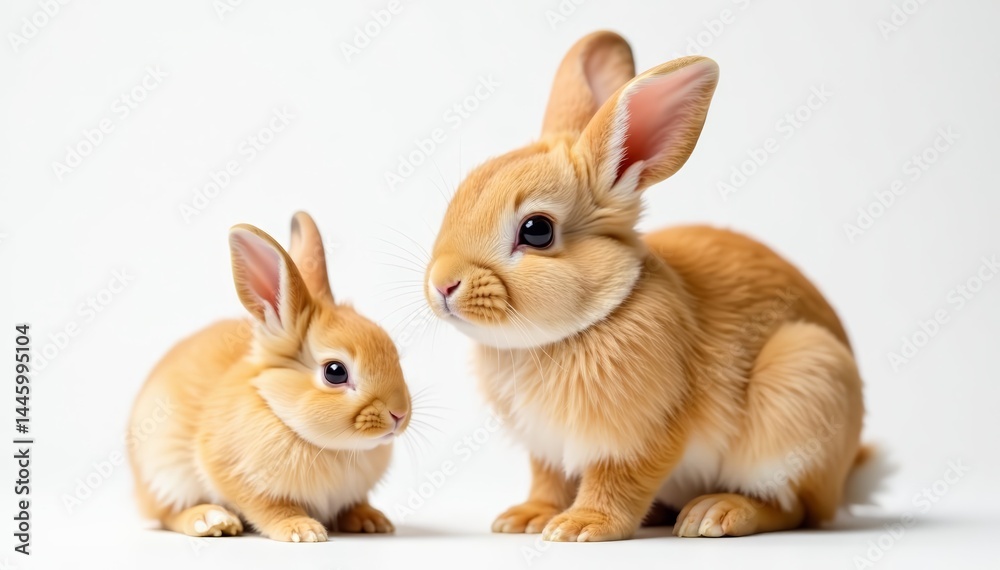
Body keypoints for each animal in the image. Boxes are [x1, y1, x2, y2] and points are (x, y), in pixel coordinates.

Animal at [129, 212, 410, 542]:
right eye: (335, 372)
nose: (399, 414)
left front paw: (371, 520)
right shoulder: (231, 472)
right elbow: (269, 507)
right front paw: (303, 530)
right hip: (162, 472)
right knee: (166, 513)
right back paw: (210, 520)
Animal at [423, 31, 871, 541]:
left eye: (536, 230)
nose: (442, 285)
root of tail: (845, 477)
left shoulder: (640, 436)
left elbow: (618, 482)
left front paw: (580, 526)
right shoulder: (546, 448)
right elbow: (548, 480)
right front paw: (526, 517)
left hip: (804, 383)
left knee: (795, 508)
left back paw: (715, 513)